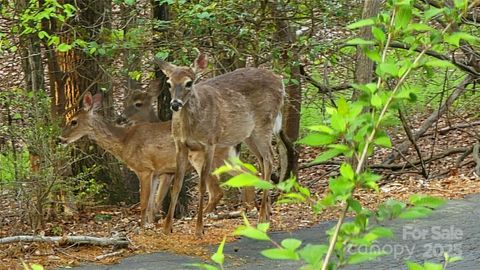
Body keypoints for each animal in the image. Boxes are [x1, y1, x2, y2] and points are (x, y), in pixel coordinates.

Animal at [59, 92, 234, 227]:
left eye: (73, 121)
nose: (60, 138)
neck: (124, 141)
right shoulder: (156, 172)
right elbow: (152, 203)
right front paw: (150, 224)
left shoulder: (144, 169)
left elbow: (143, 203)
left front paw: (141, 227)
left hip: (202, 159)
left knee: (217, 192)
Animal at [158, 52, 292, 236]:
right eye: (169, 83)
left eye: (189, 83)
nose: (175, 104)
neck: (191, 127)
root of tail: (280, 81)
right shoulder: (180, 145)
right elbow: (177, 184)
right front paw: (167, 227)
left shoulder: (210, 142)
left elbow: (202, 185)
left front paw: (199, 229)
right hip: (248, 133)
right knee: (261, 161)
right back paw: (267, 213)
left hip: (264, 123)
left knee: (269, 159)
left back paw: (262, 218)